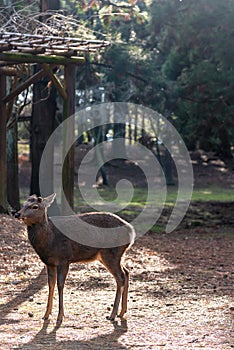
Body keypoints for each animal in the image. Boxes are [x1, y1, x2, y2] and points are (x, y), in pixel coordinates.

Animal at [15, 193, 135, 324]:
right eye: (23, 204)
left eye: (35, 206)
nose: (17, 214)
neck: (49, 241)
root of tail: (131, 232)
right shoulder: (49, 263)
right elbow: (50, 284)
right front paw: (46, 314)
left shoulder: (64, 259)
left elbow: (60, 285)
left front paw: (60, 317)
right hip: (113, 255)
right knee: (126, 272)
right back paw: (122, 312)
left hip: (111, 254)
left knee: (120, 277)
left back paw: (112, 315)